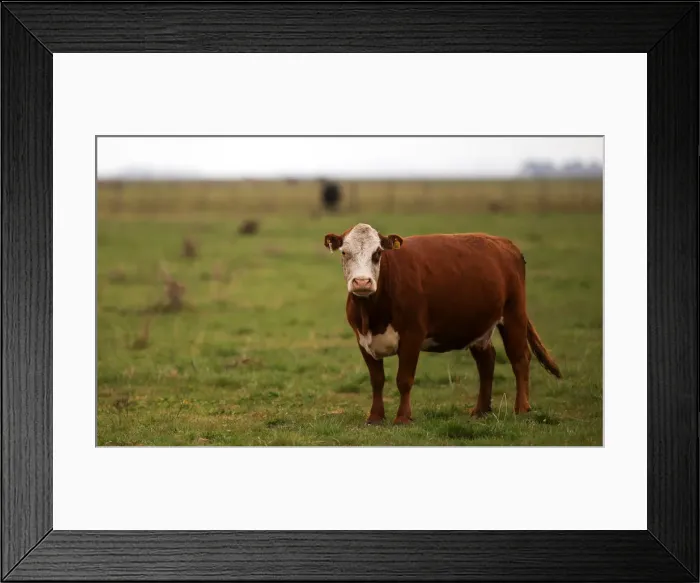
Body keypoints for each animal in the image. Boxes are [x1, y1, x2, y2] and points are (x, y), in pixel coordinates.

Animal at [323, 223, 561, 425]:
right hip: (479, 325)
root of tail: (504, 243)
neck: (372, 313)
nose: (362, 282)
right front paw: (375, 417)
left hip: (514, 314)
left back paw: (521, 408)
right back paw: (481, 410)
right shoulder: (363, 339)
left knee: (520, 359)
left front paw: (403, 418)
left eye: (378, 253)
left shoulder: (412, 335)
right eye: (344, 252)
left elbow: (404, 379)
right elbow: (377, 379)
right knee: (487, 361)